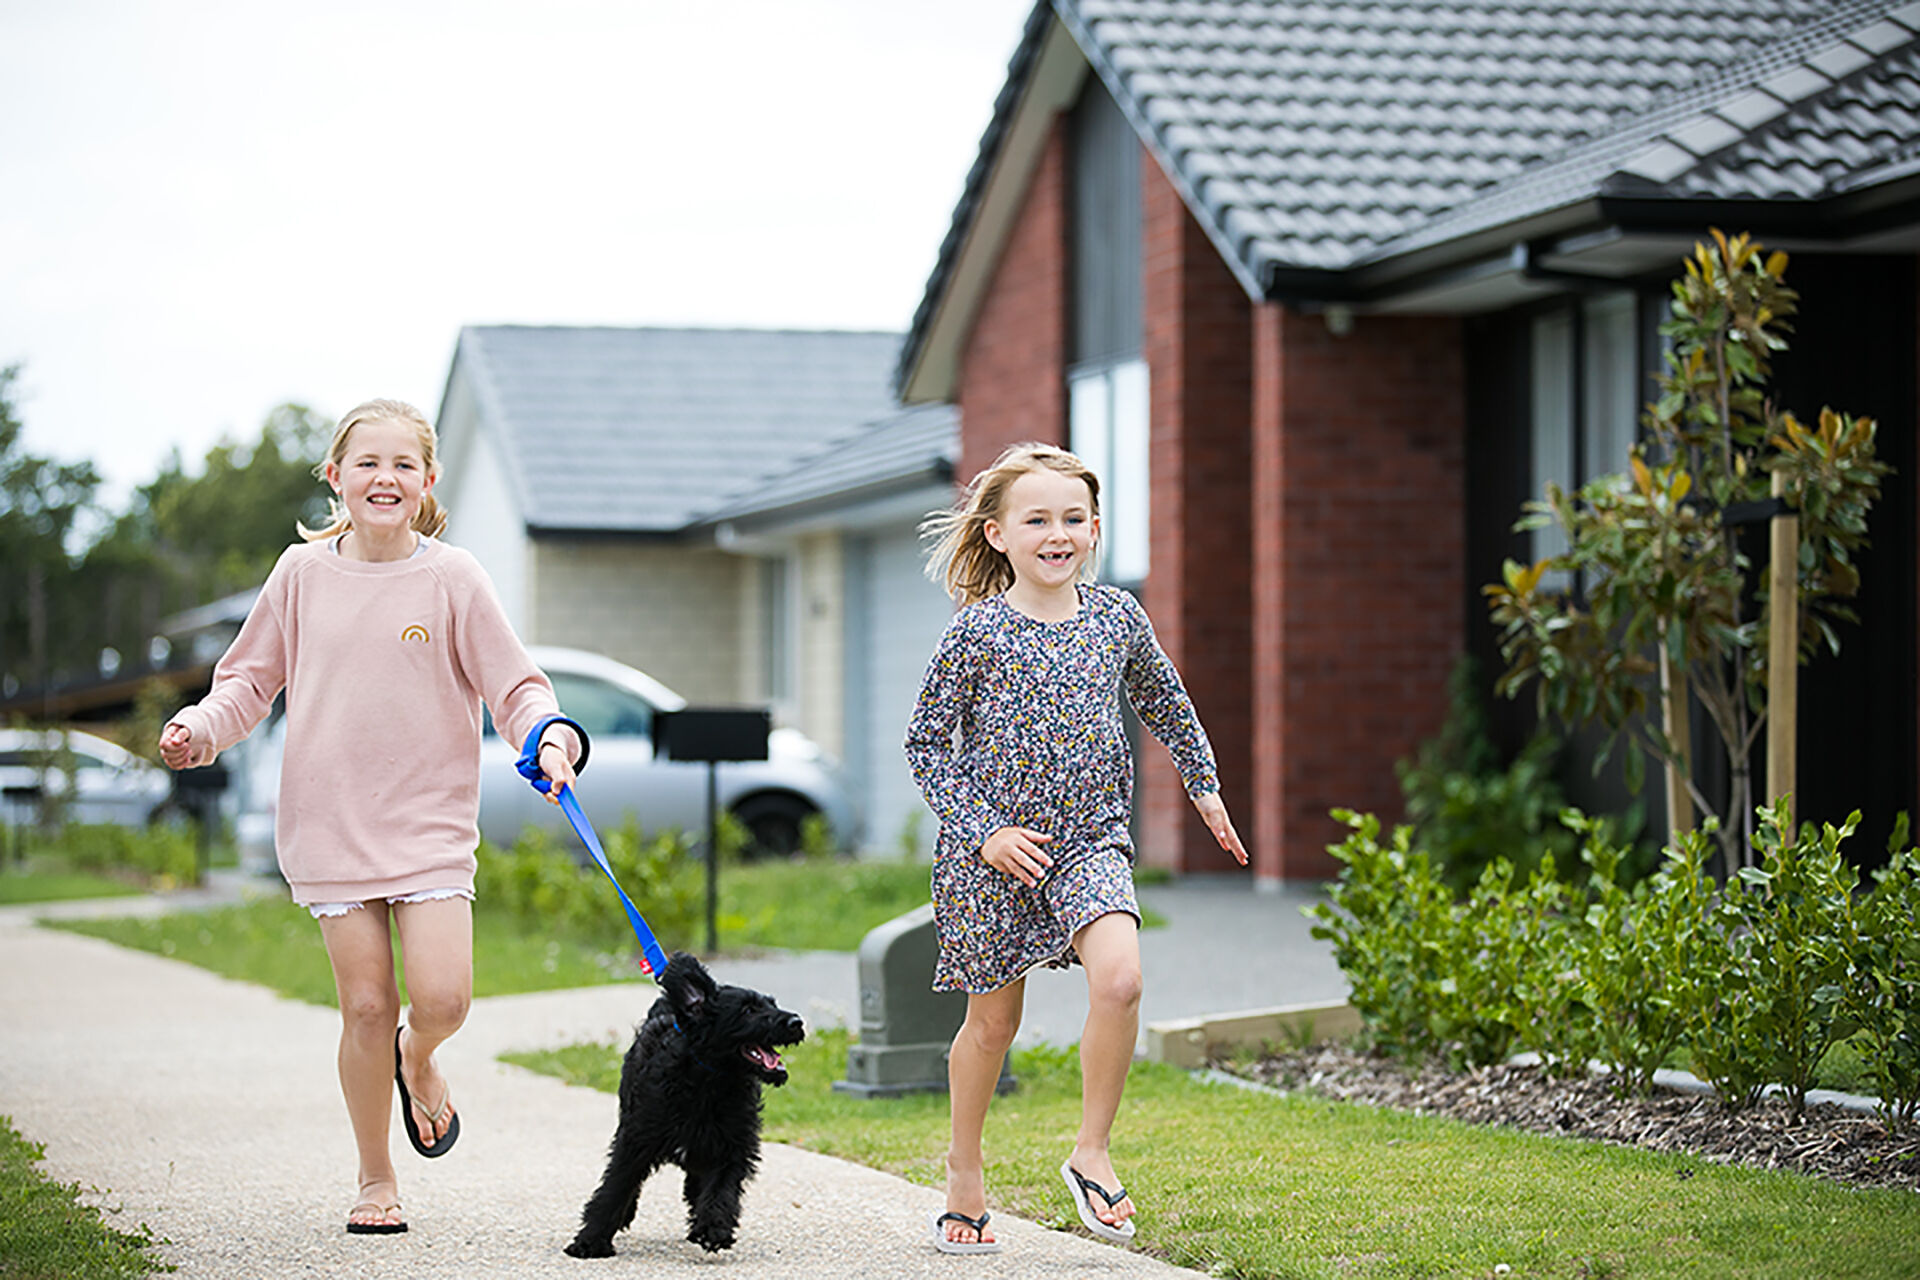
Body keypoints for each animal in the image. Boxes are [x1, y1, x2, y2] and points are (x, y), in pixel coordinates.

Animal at [560, 955, 802, 1258]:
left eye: (773, 1004)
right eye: (748, 1010)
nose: (797, 1022)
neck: (709, 1084)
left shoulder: (732, 1146)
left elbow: (721, 1189)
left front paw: (713, 1228)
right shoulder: (635, 1141)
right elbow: (615, 1186)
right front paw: (589, 1242)